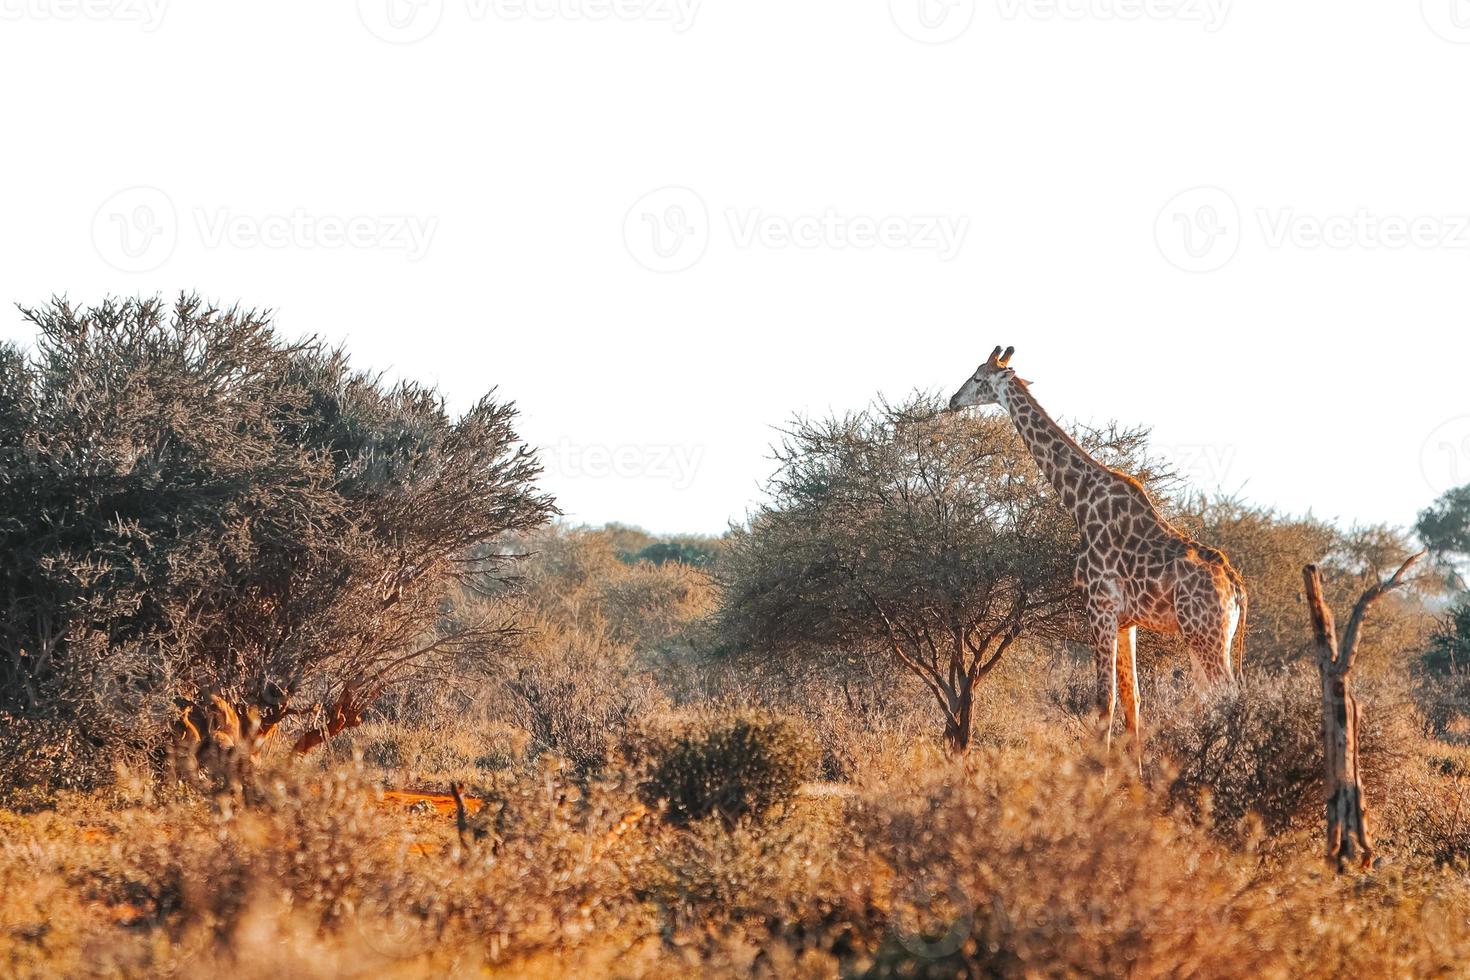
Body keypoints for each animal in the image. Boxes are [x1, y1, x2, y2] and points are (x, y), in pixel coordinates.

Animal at [946, 348, 1246, 764]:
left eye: (977, 377)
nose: (952, 401)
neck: (1080, 503)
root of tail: (1236, 587)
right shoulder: (1126, 622)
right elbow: (1133, 700)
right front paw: (1133, 777)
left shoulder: (1100, 609)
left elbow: (1105, 701)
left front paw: (1100, 775)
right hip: (1206, 636)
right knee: (1214, 700)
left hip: (1205, 634)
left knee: (1230, 699)